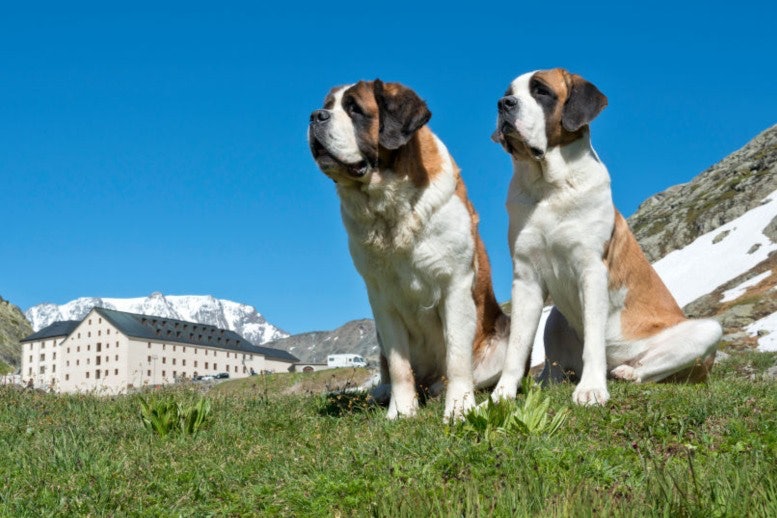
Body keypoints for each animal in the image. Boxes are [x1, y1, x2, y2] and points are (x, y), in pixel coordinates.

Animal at [306, 82, 512, 422]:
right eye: (328, 105)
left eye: (354, 109)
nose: (315, 116)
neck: (390, 205)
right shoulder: (381, 298)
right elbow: (399, 364)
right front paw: (401, 412)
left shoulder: (456, 285)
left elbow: (457, 358)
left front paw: (458, 409)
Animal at [492, 69, 720, 408]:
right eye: (510, 92)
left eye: (541, 91)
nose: (504, 103)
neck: (549, 189)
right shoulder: (526, 278)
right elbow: (517, 345)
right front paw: (500, 395)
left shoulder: (592, 271)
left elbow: (594, 341)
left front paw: (590, 389)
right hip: (556, 317)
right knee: (555, 365)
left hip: (707, 330)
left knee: (649, 366)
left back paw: (626, 372)